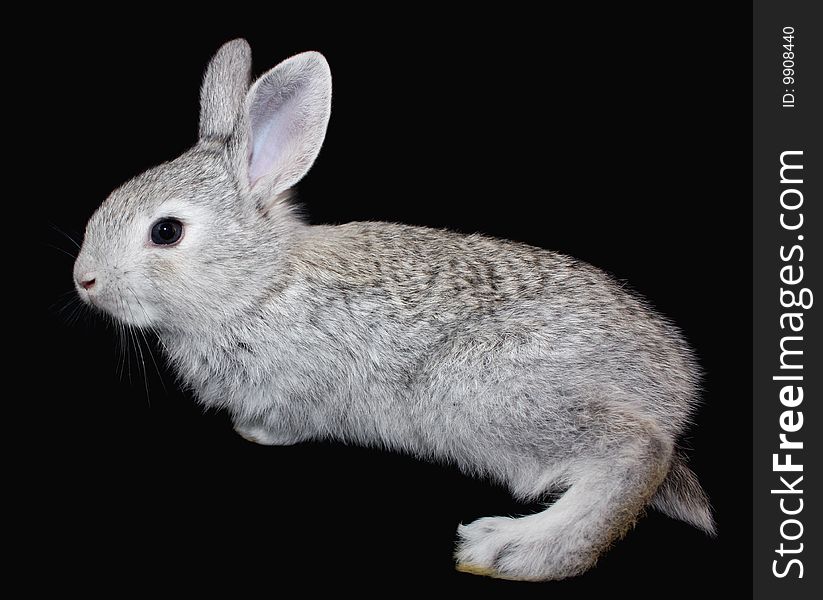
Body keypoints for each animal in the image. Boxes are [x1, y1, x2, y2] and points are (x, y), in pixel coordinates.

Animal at [72, 38, 716, 580]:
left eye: (166, 231)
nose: (84, 279)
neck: (260, 286)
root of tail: (676, 391)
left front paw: (256, 434)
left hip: (491, 392)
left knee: (637, 452)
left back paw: (512, 549)